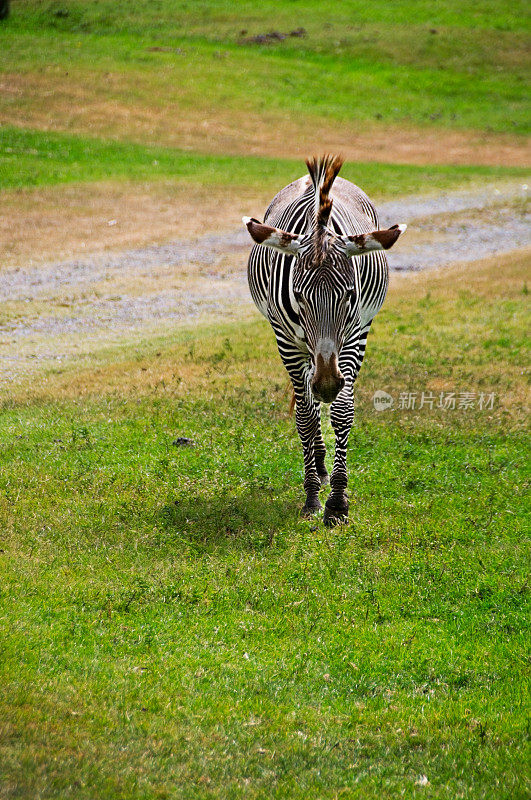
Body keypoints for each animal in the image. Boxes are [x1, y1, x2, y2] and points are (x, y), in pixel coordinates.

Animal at [244, 155, 408, 524]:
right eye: (298, 294)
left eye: (349, 294)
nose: (328, 382)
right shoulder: (287, 342)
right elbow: (306, 416)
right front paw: (312, 496)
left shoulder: (355, 334)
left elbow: (342, 412)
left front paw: (337, 499)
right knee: (309, 402)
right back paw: (318, 468)